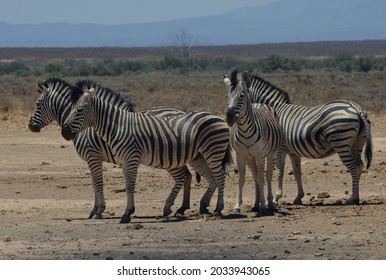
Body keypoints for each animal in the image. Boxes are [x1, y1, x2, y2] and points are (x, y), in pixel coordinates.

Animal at [28, 78, 195, 219]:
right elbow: (94, 183)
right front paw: (95, 210)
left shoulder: (93, 156)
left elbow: (97, 183)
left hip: (169, 158)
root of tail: (182, 112)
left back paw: (173, 208)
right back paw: (182, 207)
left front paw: (98, 211)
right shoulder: (93, 159)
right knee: (187, 175)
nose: (30, 126)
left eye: (37, 104)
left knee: (182, 176)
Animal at [61, 83, 231, 223]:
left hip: (213, 152)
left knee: (220, 177)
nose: (64, 132)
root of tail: (217, 117)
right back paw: (200, 206)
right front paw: (125, 212)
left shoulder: (130, 158)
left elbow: (129, 186)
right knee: (211, 178)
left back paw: (218, 209)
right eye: (71, 109)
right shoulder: (123, 161)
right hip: (200, 157)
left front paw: (126, 214)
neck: (118, 127)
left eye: (79, 110)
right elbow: (125, 185)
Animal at [225, 71, 282, 213]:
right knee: (255, 176)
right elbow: (241, 179)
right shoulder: (240, 155)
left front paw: (264, 204)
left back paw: (269, 203)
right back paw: (256, 203)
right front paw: (237, 206)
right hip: (250, 158)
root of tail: (259, 103)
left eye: (241, 96)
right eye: (227, 96)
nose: (229, 118)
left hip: (271, 153)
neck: (245, 131)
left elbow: (262, 178)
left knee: (267, 175)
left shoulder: (260, 154)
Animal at [237, 71, 372, 205]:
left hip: (341, 141)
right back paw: (356, 196)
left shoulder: (280, 149)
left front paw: (276, 198)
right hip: (357, 143)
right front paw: (298, 197)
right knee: (359, 166)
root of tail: (356, 108)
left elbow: (280, 171)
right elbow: (297, 173)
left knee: (353, 168)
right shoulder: (293, 152)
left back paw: (352, 198)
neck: (272, 112)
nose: (232, 118)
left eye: (239, 97)